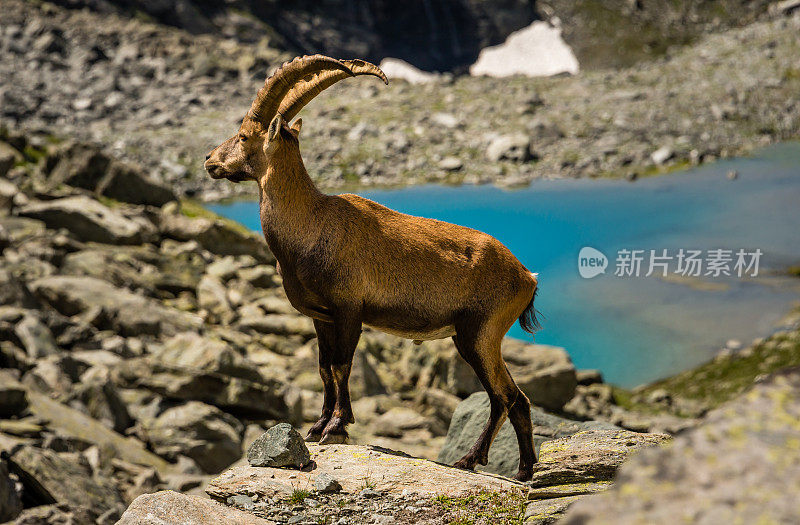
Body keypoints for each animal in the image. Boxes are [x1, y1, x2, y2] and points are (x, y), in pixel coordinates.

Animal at [206, 55, 540, 482]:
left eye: (245, 135)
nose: (209, 161)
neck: (312, 224)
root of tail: (526, 277)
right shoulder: (321, 316)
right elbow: (323, 368)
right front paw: (317, 425)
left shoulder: (349, 309)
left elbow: (341, 365)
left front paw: (336, 426)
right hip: (485, 337)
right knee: (519, 398)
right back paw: (525, 470)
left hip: (478, 333)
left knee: (503, 396)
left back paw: (470, 460)